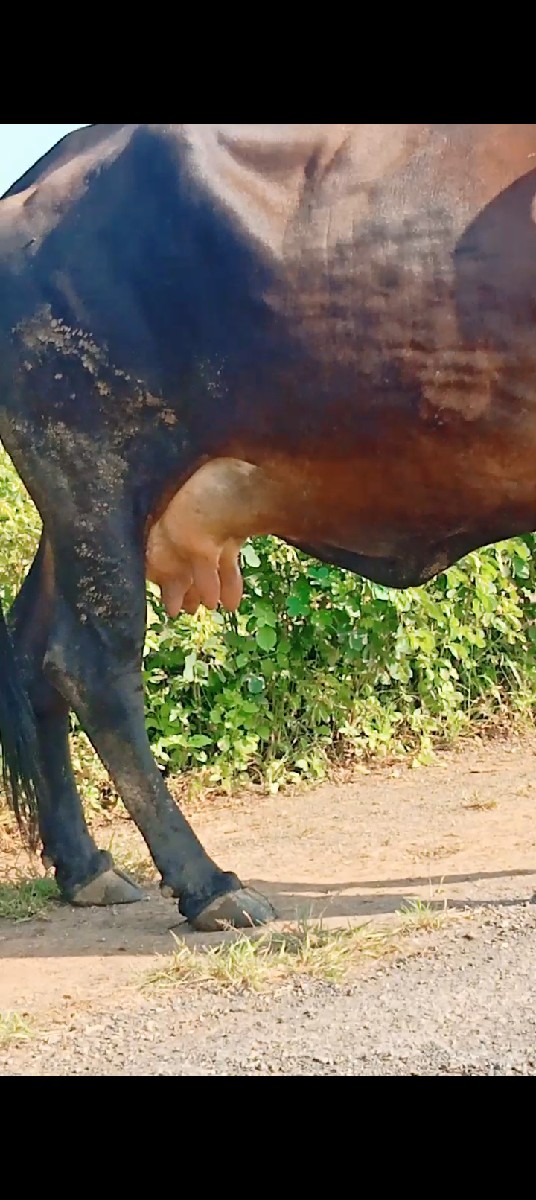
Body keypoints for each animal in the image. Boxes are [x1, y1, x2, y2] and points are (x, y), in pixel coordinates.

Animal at [1, 124, 536, 932]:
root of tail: (38, 176)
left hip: (85, 512)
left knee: (32, 654)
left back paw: (88, 869)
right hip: (91, 464)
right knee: (91, 666)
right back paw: (210, 885)